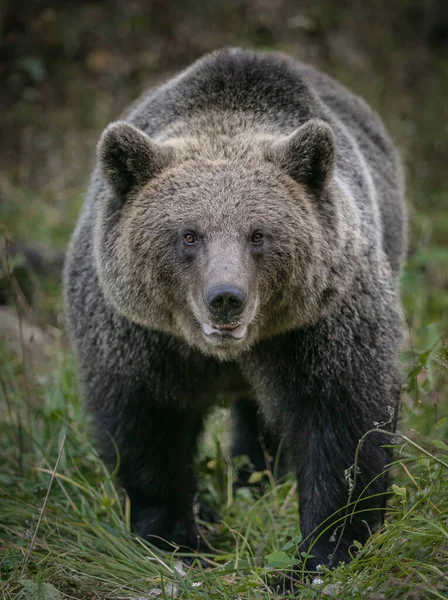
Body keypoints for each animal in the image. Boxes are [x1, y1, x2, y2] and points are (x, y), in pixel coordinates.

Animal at [65, 49, 408, 568]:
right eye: (189, 234)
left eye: (258, 234)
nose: (225, 297)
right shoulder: (138, 335)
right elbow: (147, 429)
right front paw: (177, 539)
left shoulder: (321, 324)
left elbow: (344, 424)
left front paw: (324, 551)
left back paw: (255, 477)